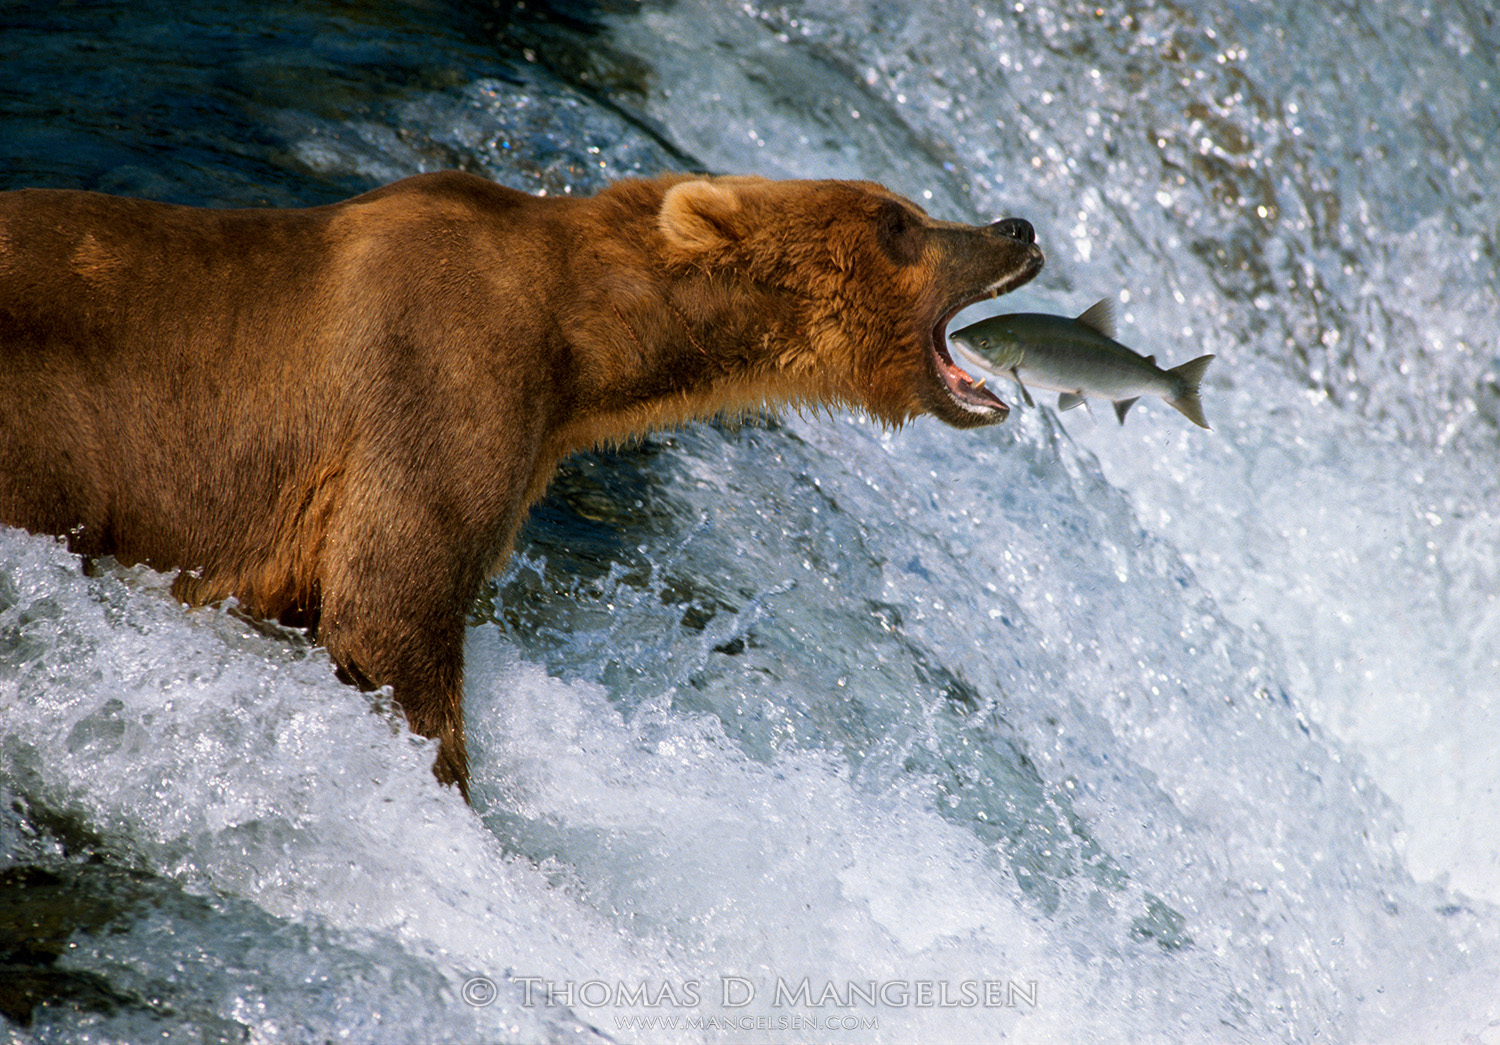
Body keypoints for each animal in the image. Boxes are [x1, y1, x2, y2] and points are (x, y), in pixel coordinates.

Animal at [0, 171, 1043, 801]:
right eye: (900, 224)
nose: (1017, 226)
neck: (582, 346)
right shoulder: (443, 377)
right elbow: (390, 606)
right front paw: (450, 789)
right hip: (45, 431)